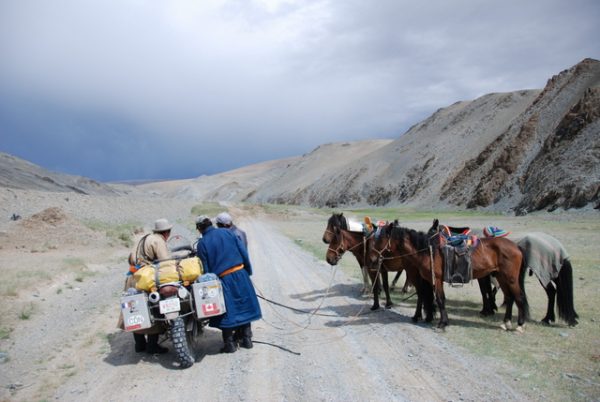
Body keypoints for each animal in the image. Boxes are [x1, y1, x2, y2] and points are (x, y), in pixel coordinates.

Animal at [368, 220, 528, 330]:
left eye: (380, 239)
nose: (372, 259)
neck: (426, 250)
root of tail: (516, 246)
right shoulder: (429, 279)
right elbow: (430, 297)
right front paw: (433, 318)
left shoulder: (437, 279)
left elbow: (439, 299)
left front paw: (442, 323)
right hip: (501, 277)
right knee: (510, 297)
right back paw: (506, 323)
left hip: (510, 278)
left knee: (518, 297)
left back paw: (520, 325)